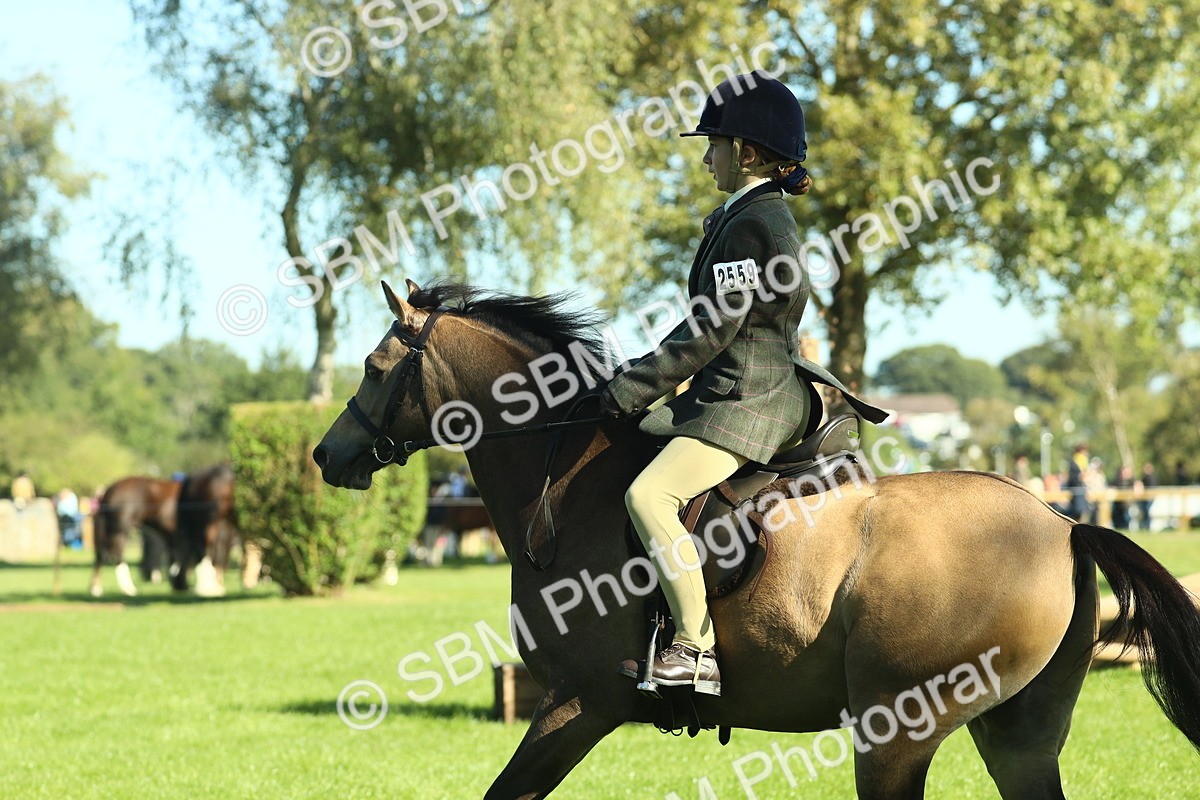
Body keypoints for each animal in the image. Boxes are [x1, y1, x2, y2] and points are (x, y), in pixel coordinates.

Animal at [91, 466, 237, 598]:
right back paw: (128, 587)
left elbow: (177, 558)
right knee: (116, 553)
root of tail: (108, 491)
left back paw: (96, 588)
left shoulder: (174, 536)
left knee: (100, 554)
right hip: (120, 529)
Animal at [314, 280, 1200, 799]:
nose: (327, 454)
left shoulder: (577, 702)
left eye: (372, 367)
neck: (564, 479)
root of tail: (1064, 524)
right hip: (1019, 734)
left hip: (898, 733)